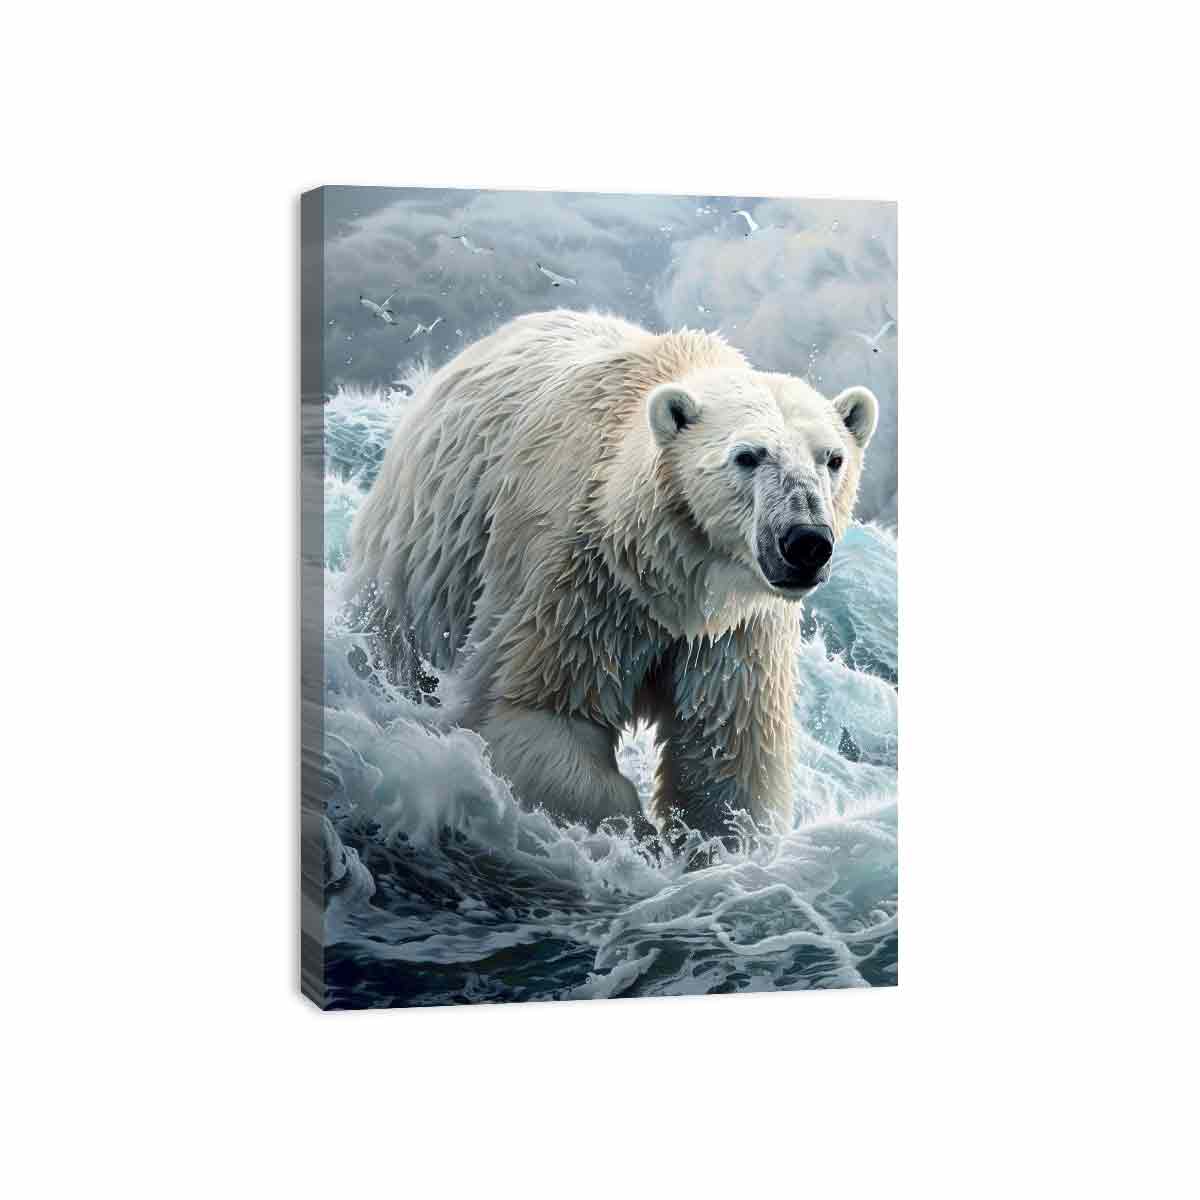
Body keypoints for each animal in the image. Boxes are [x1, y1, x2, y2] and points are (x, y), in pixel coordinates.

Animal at [347, 309, 879, 838]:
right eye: (748, 455)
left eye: (833, 458)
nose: (805, 542)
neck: (672, 575)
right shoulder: (580, 581)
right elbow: (538, 712)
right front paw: (634, 833)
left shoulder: (737, 631)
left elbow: (729, 757)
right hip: (423, 558)